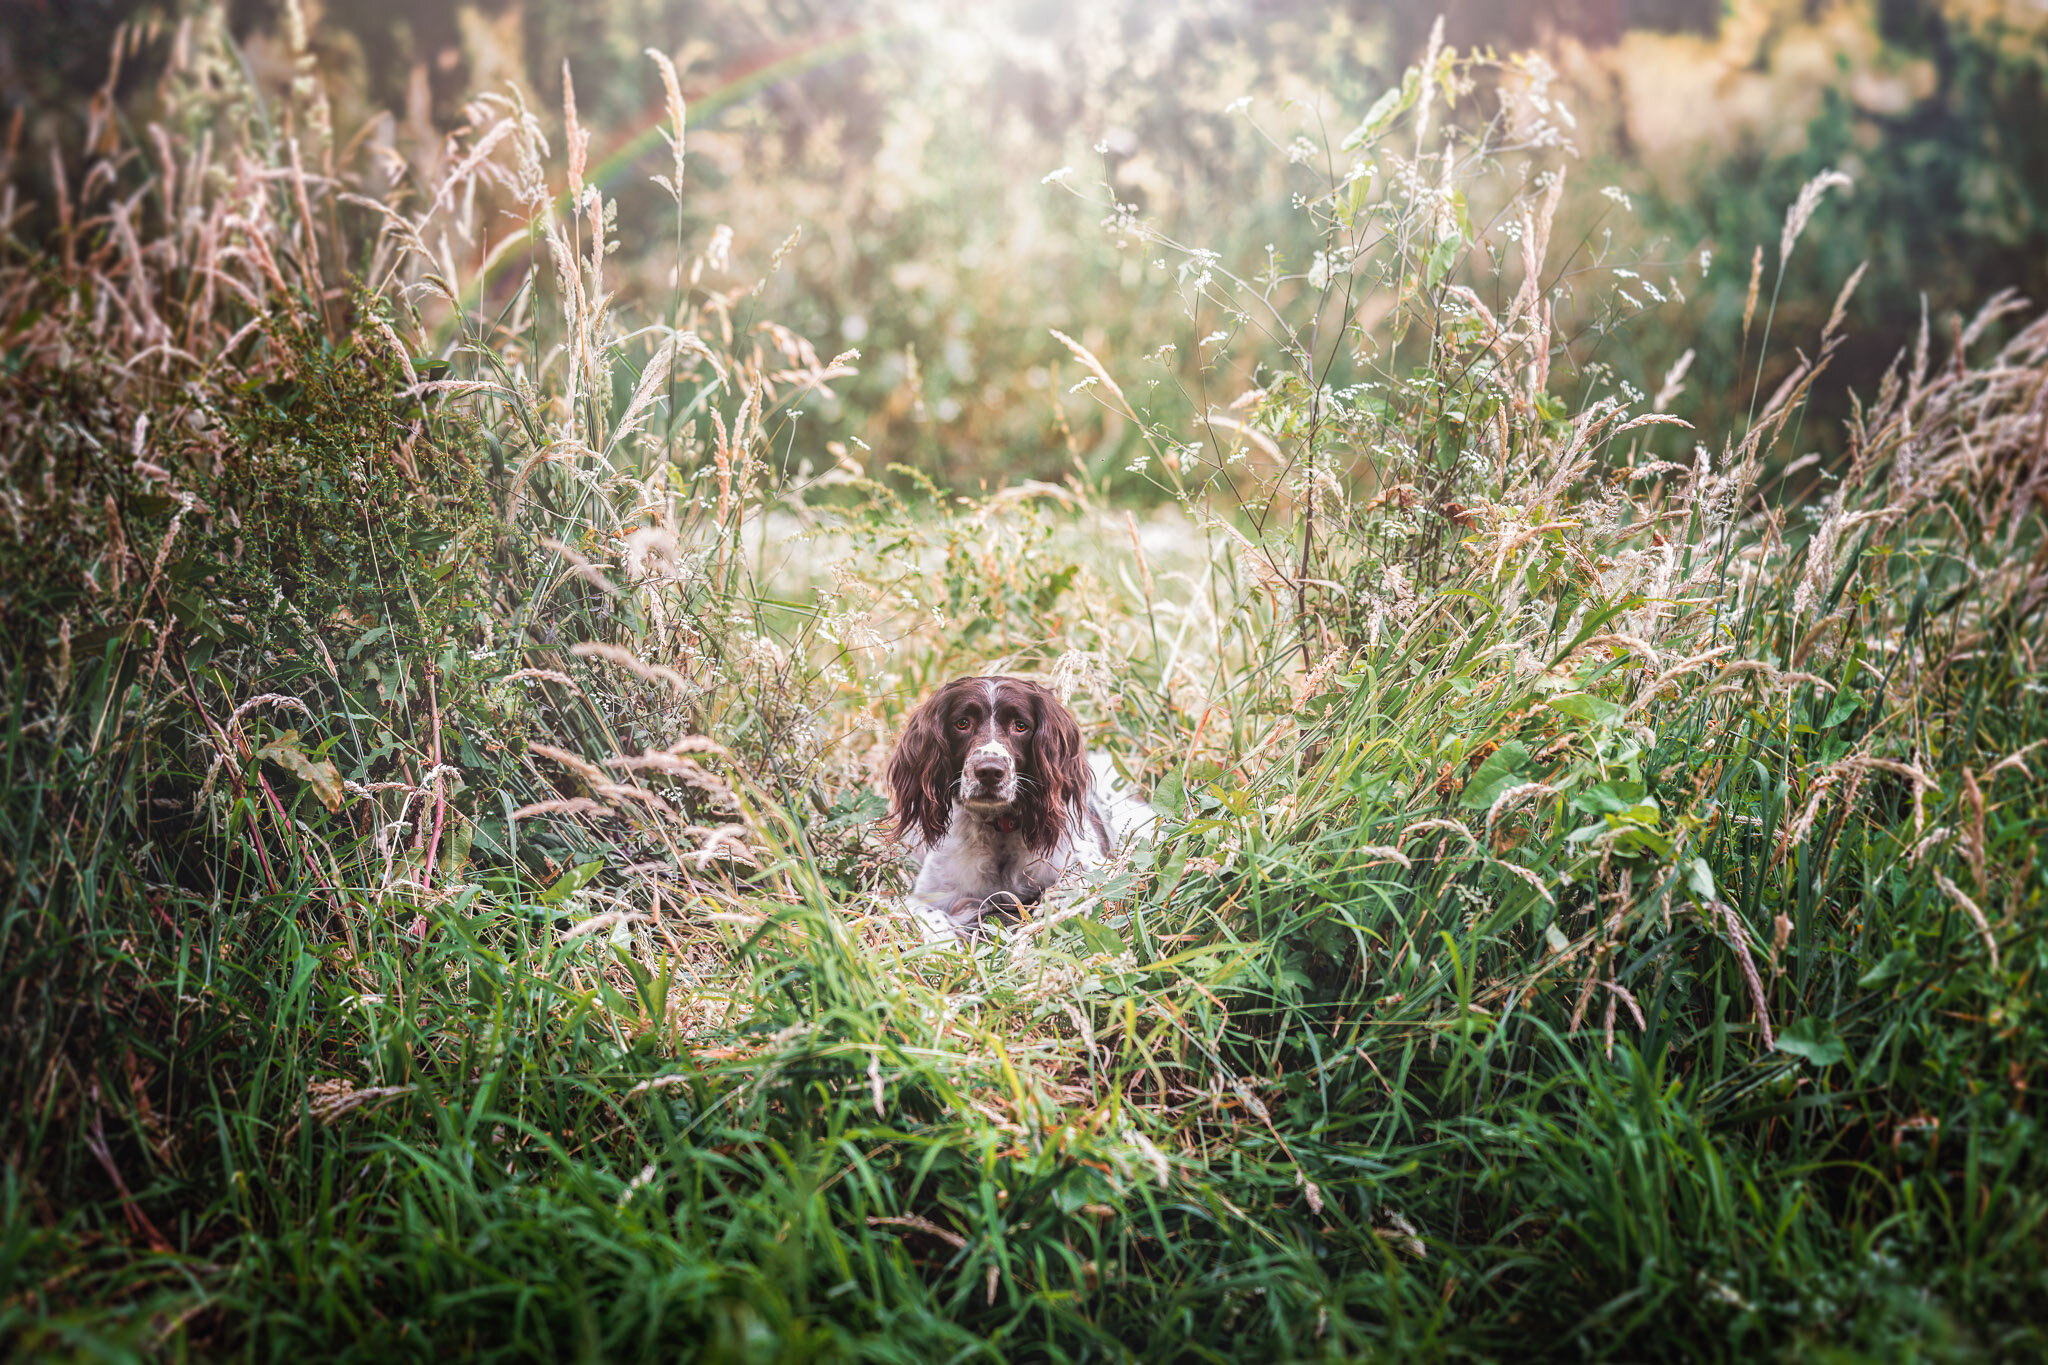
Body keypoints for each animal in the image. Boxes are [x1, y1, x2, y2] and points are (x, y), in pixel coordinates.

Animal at [892, 675, 1163, 941]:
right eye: (962, 723)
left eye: (1020, 726)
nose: (989, 771)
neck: (1000, 829)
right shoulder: (925, 896)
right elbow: (930, 916)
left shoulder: (1088, 870)